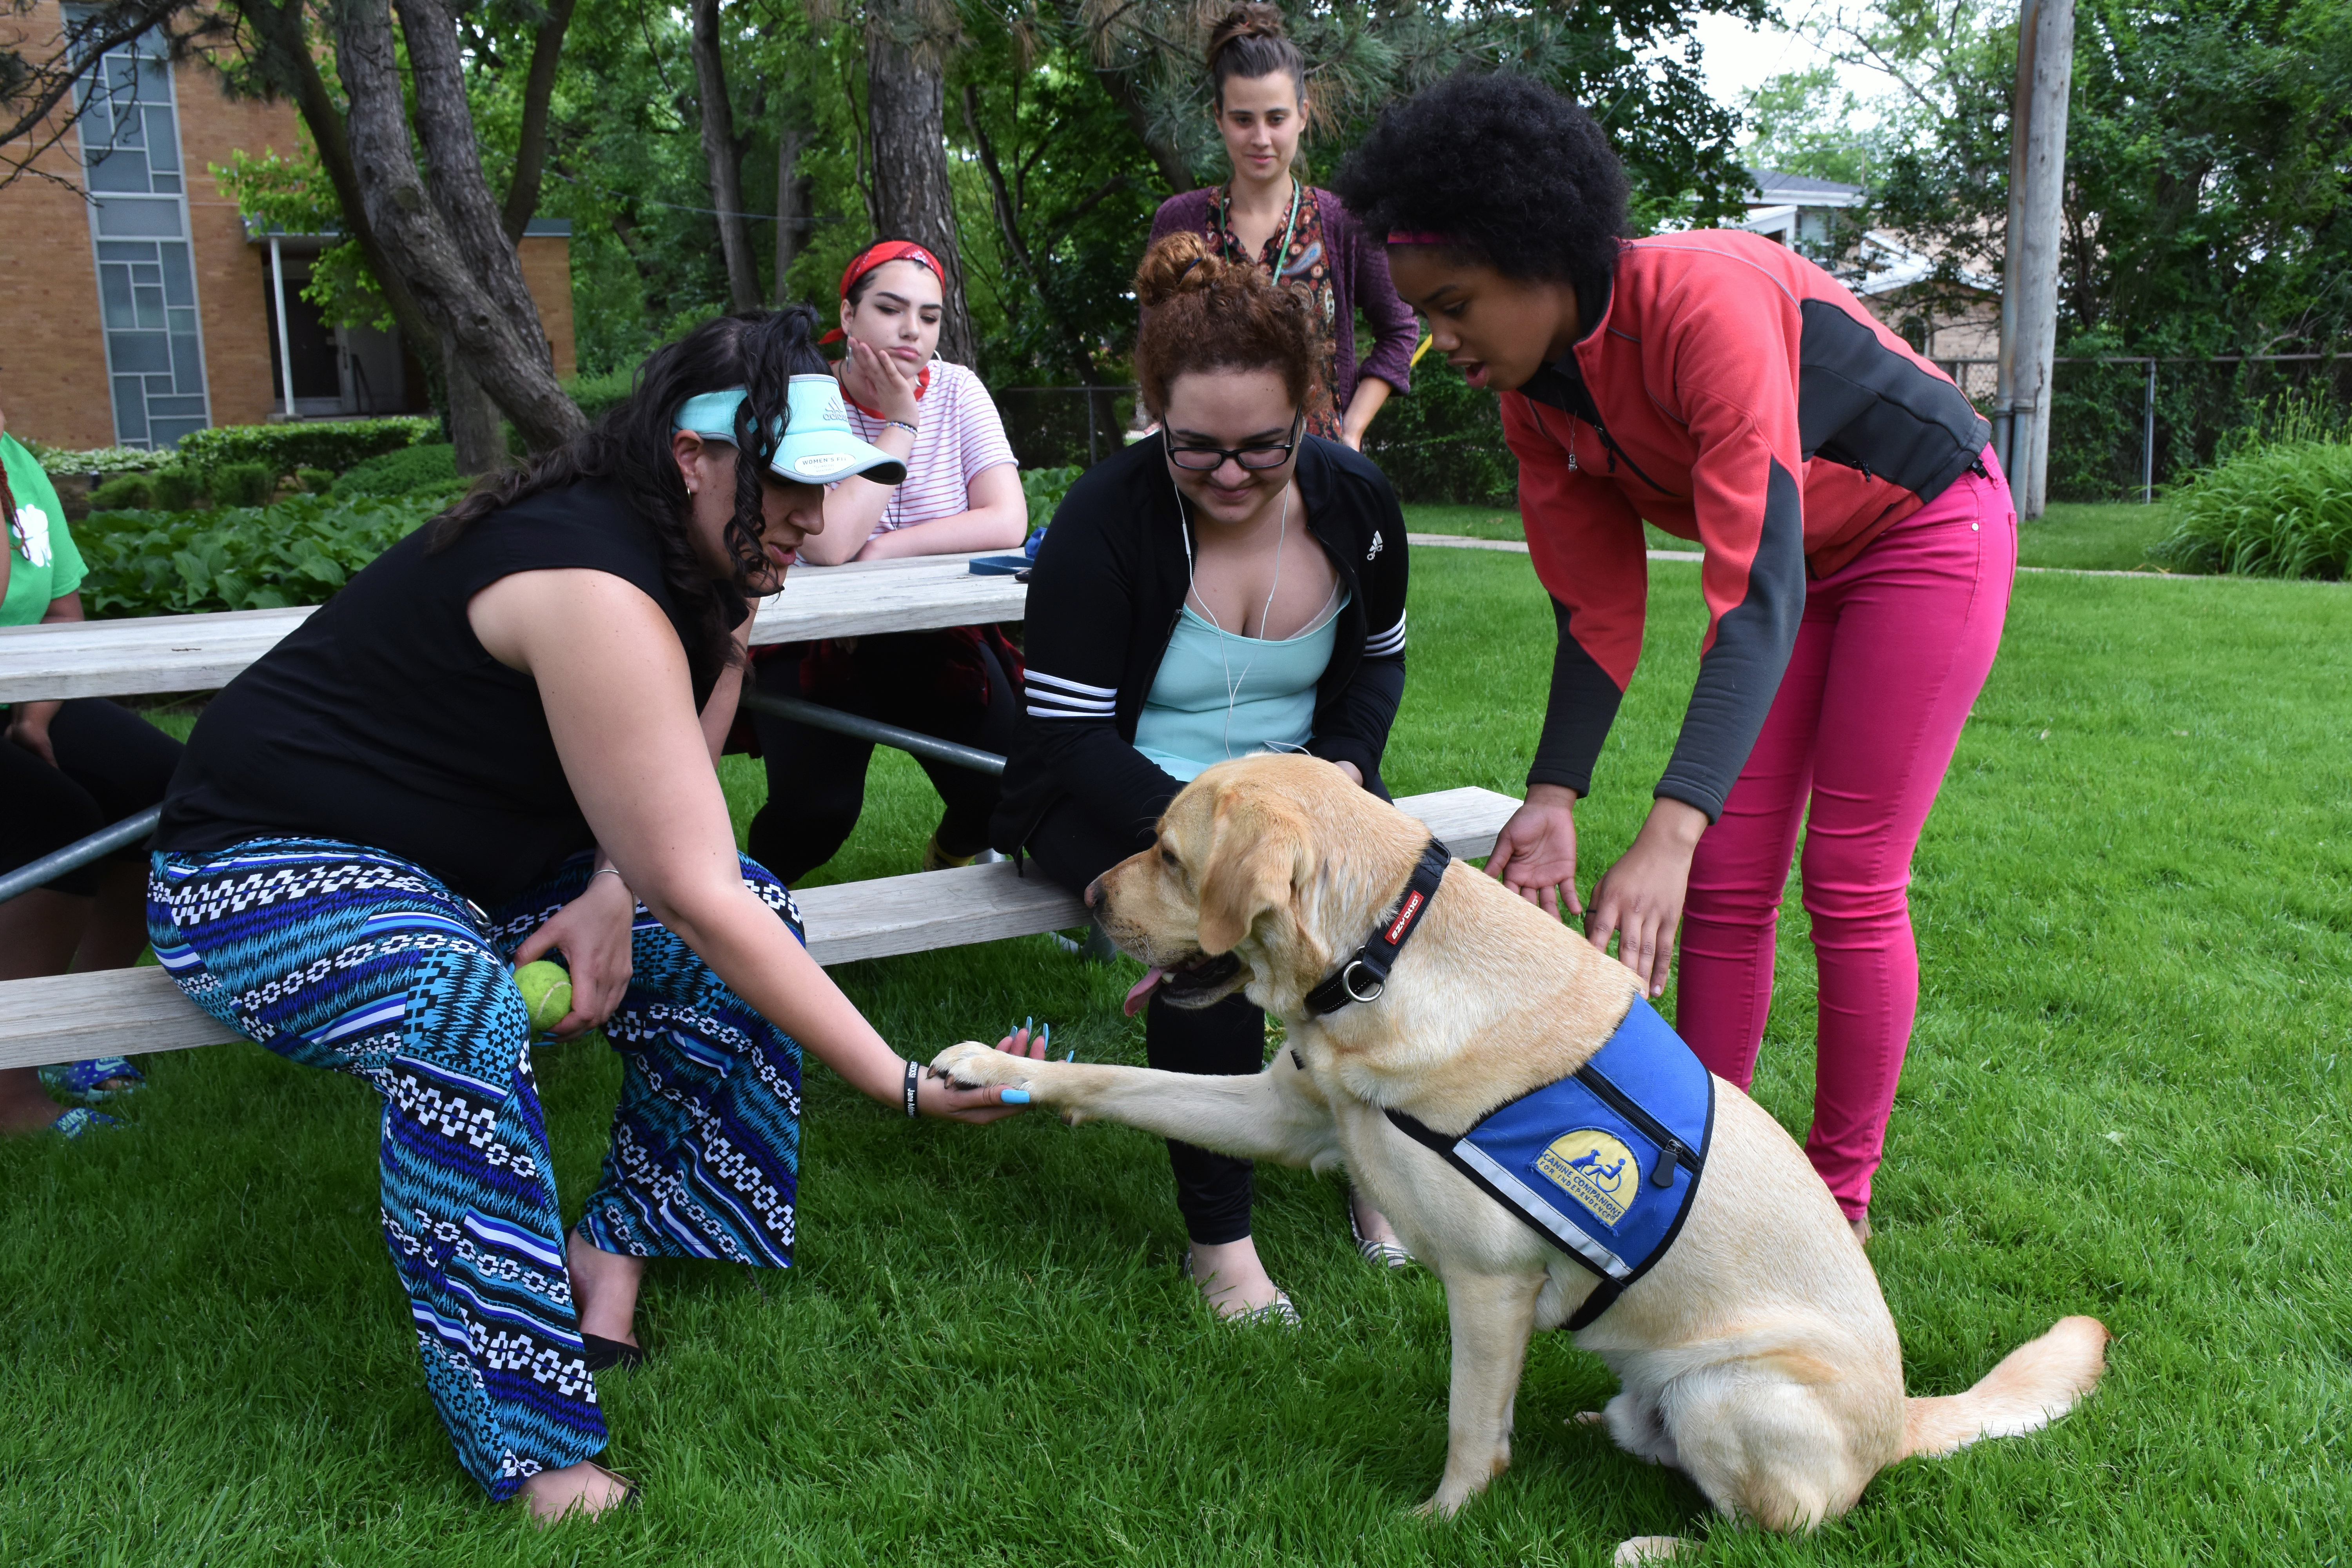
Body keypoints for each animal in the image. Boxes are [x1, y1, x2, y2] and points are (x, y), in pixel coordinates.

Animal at [927, 752, 2107, 1542]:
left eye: (1170, 855)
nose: (1085, 893)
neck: (1381, 961)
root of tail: (1899, 1423)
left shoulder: (1488, 1284)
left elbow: (1468, 1428)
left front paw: (1435, 1522)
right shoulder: (1284, 1116)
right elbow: (1121, 1084)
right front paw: (984, 1068)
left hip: (1735, 1390)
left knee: (1775, 1529)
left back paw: (1654, 1544)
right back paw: (1600, 1422)